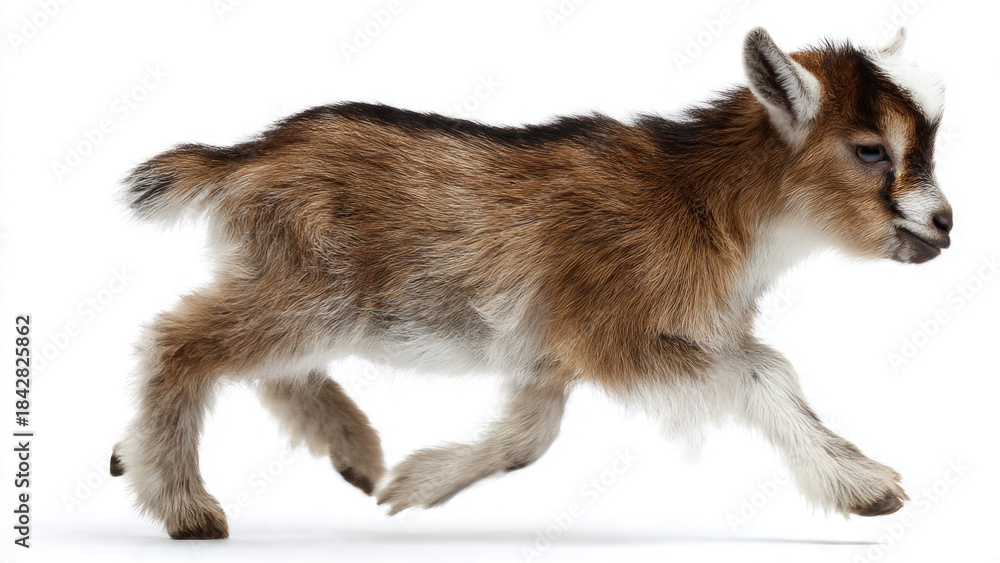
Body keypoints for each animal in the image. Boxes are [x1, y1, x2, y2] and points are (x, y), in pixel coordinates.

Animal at [111, 27, 951, 539]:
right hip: (316, 288)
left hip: (299, 288)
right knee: (179, 342)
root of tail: (246, 157)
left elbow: (528, 438)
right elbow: (765, 374)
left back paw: (352, 454)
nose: (944, 223)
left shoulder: (549, 349)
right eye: (871, 149)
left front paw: (417, 484)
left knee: (264, 364)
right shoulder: (615, 333)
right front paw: (864, 487)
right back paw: (183, 503)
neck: (704, 202)